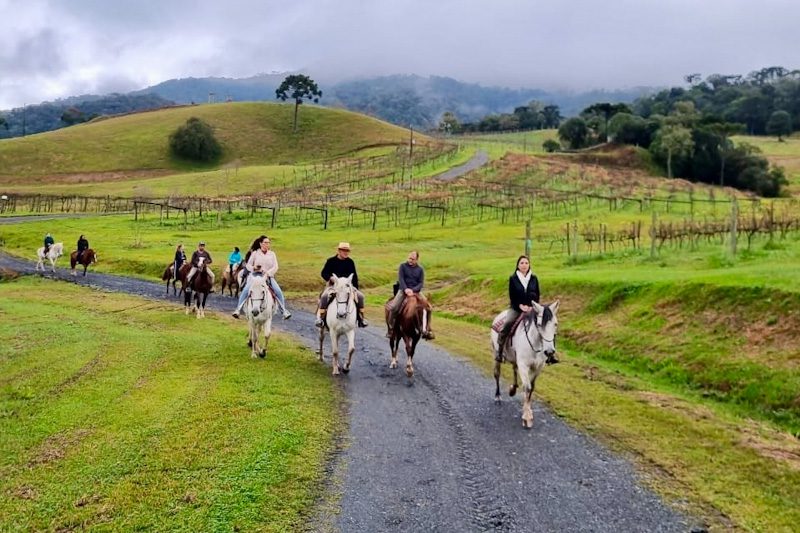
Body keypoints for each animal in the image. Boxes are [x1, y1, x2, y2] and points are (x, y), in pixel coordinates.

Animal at [490, 300, 560, 428]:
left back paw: (513, 389)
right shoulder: (523, 365)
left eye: (555, 324)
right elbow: (527, 387)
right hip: (496, 354)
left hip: (515, 358)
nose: (549, 352)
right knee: (497, 373)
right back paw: (497, 397)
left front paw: (528, 412)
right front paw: (527, 417)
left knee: (514, 368)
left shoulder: (538, 367)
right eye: (539, 325)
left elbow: (532, 388)